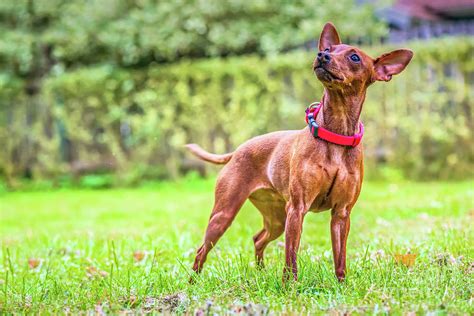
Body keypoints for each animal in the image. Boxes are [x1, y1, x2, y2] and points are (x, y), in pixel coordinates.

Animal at [185, 22, 412, 282]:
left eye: (354, 57)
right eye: (328, 49)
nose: (322, 56)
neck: (336, 135)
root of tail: (237, 150)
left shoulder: (341, 214)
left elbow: (340, 258)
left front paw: (342, 284)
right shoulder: (297, 209)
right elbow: (291, 257)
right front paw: (289, 286)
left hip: (276, 219)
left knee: (258, 238)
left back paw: (260, 272)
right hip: (225, 214)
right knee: (202, 250)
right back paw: (193, 283)